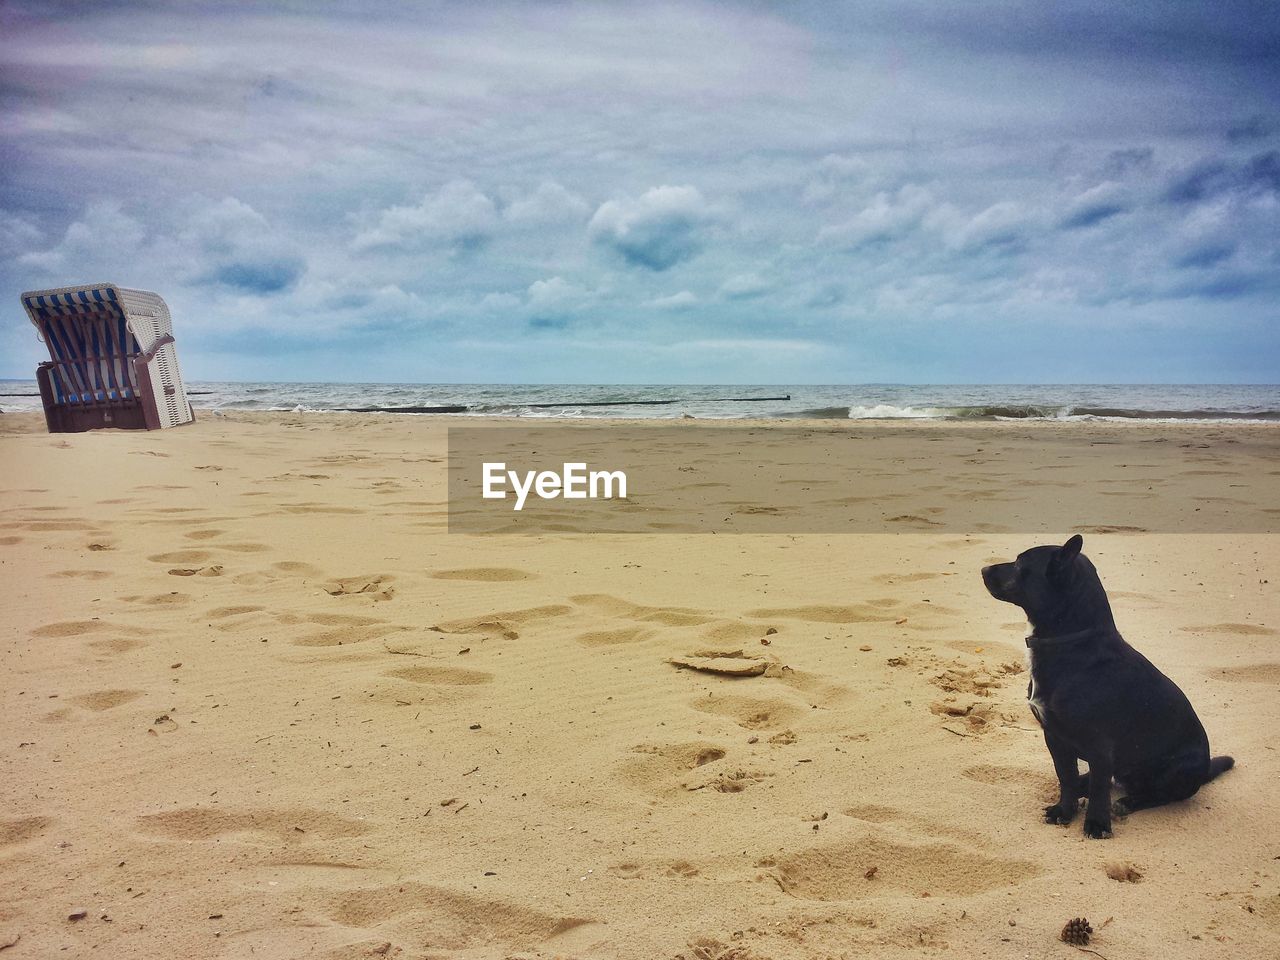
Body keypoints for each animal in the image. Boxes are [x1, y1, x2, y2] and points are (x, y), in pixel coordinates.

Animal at [977, 537, 1228, 839]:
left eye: (1019, 564)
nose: (983, 569)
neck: (1071, 643)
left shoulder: (1099, 747)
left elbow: (1098, 789)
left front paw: (1097, 823)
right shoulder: (1055, 738)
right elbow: (1066, 777)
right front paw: (1065, 810)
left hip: (1180, 769)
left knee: (1156, 794)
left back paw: (1128, 802)